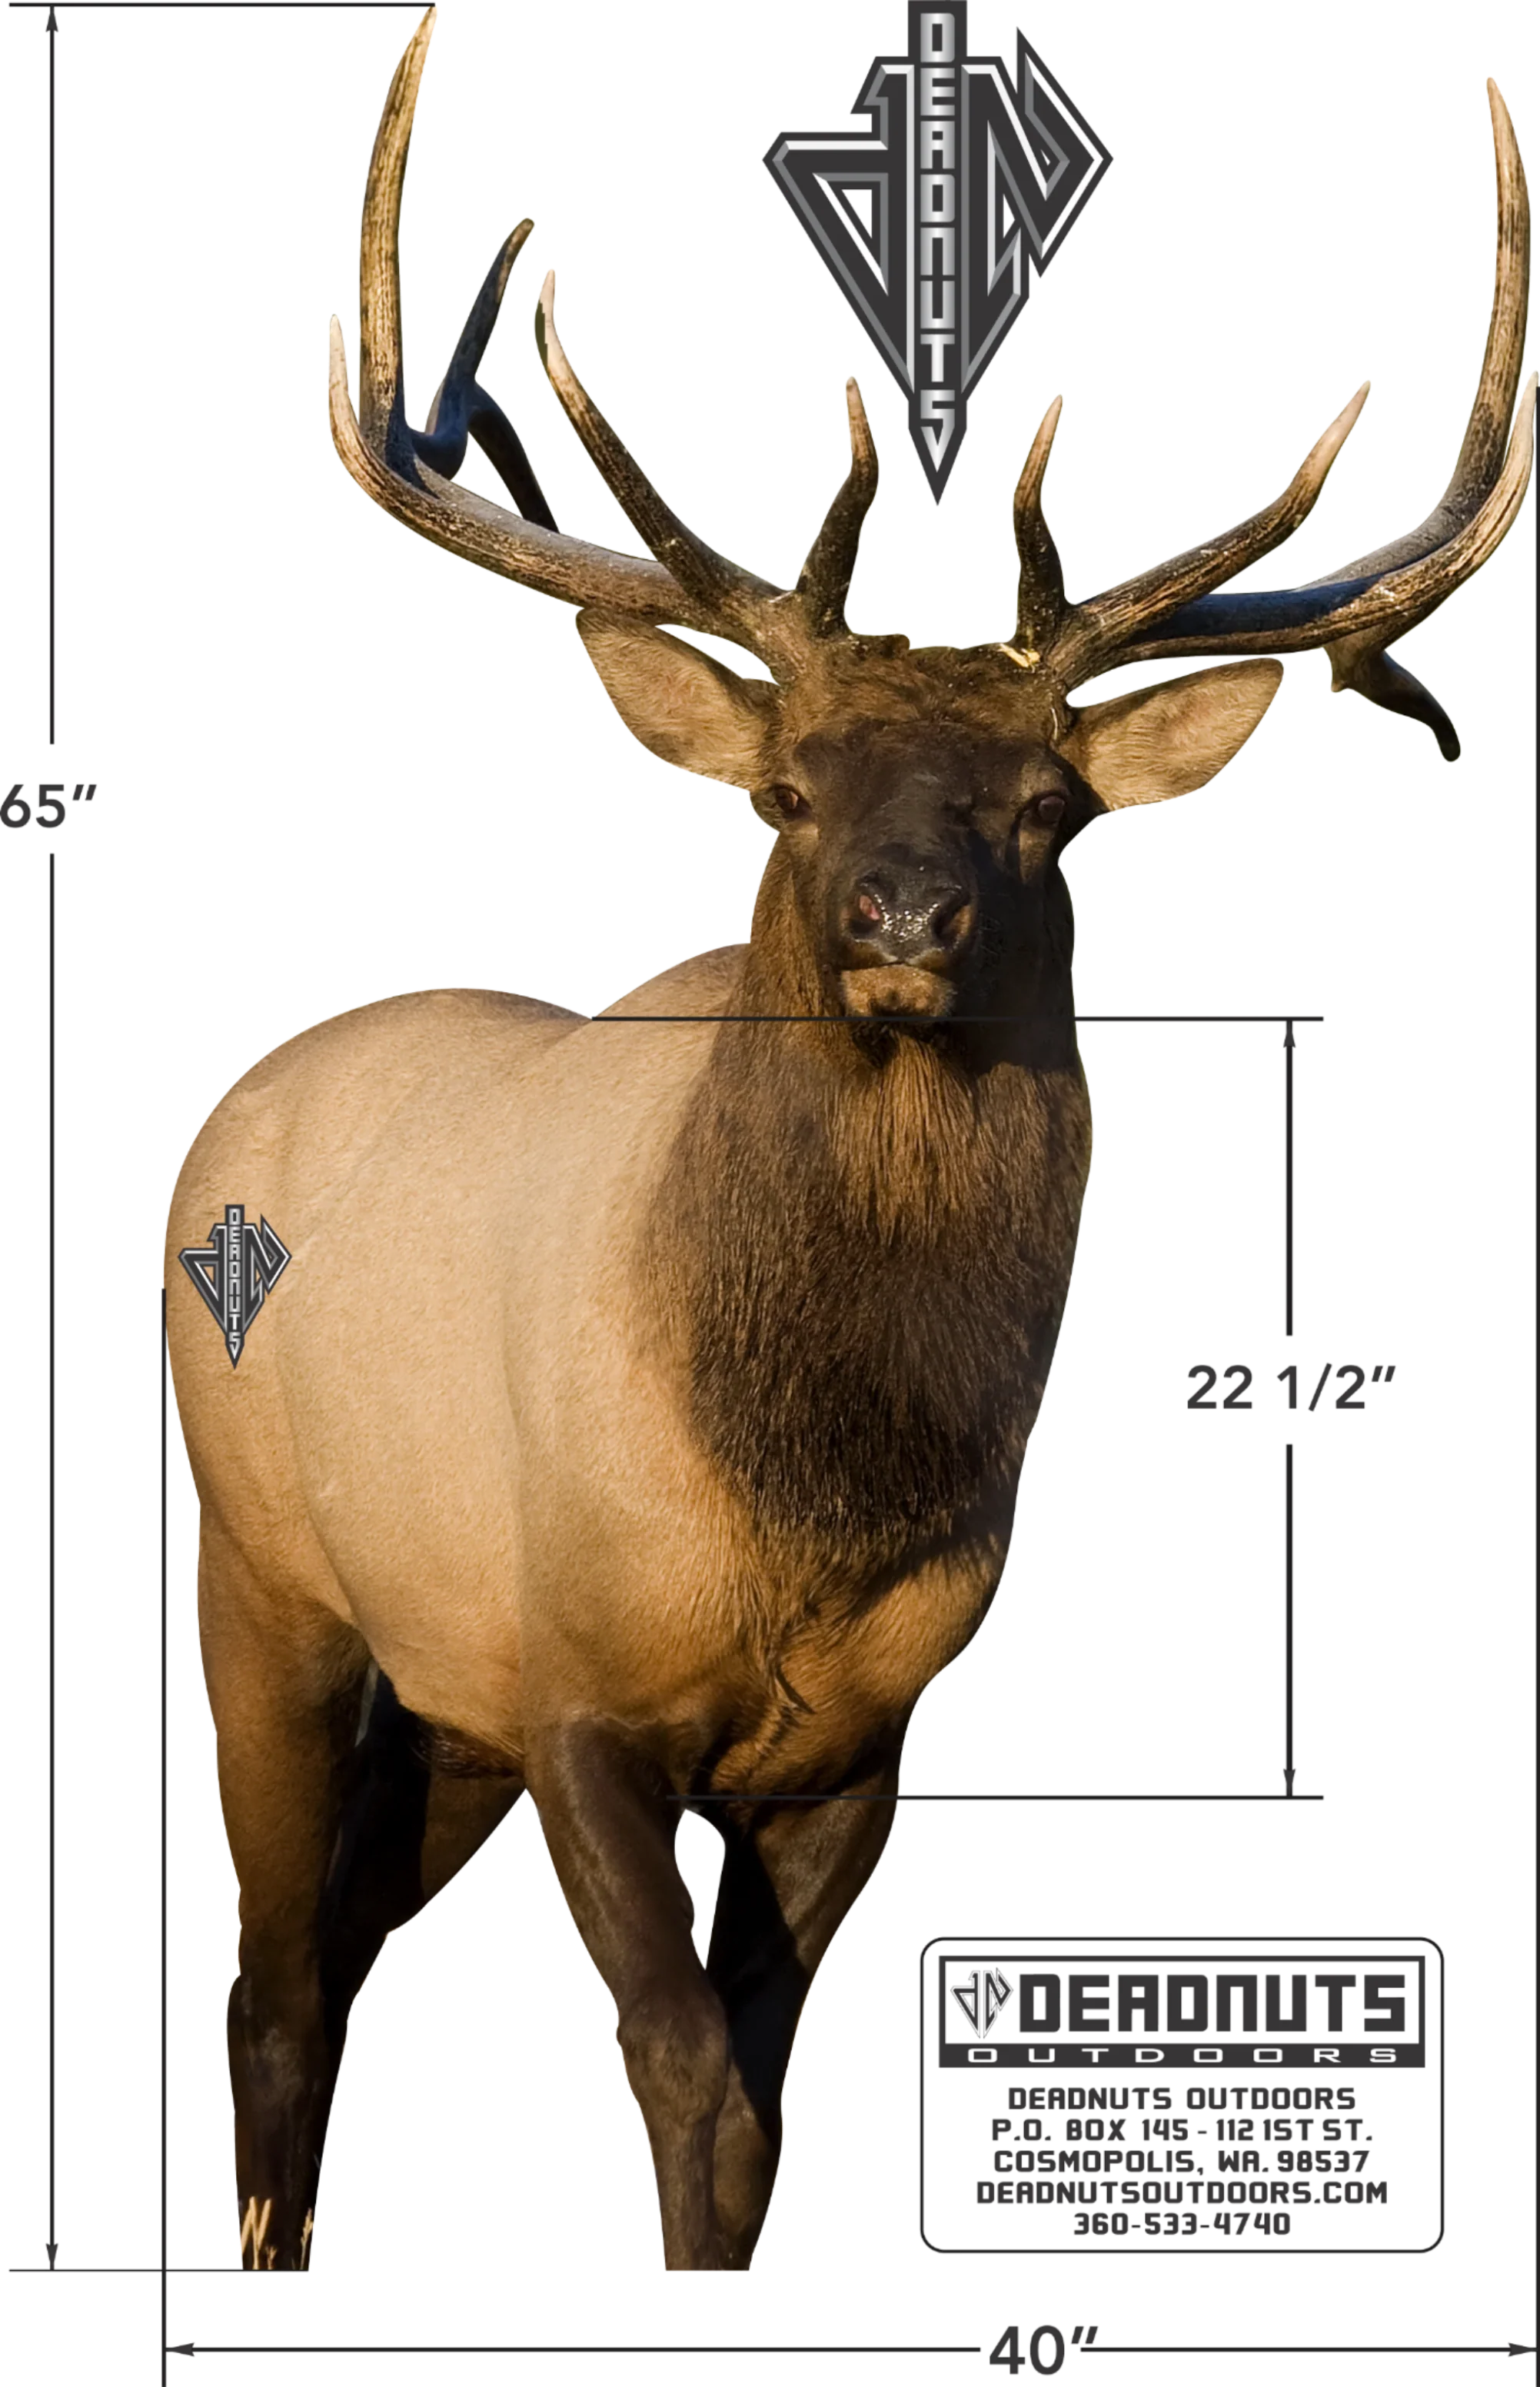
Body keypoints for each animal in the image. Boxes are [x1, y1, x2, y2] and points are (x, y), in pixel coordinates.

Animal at [164, 5, 1532, 2274]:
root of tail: (241, 1097)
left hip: (433, 1693)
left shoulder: (860, 1742)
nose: (904, 913)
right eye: (788, 791)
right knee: (271, 1987)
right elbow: (684, 2079)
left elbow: (752, 2120)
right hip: (267, 1576)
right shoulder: (575, 1684)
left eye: (1049, 812)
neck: (809, 1489)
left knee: (339, 1953)